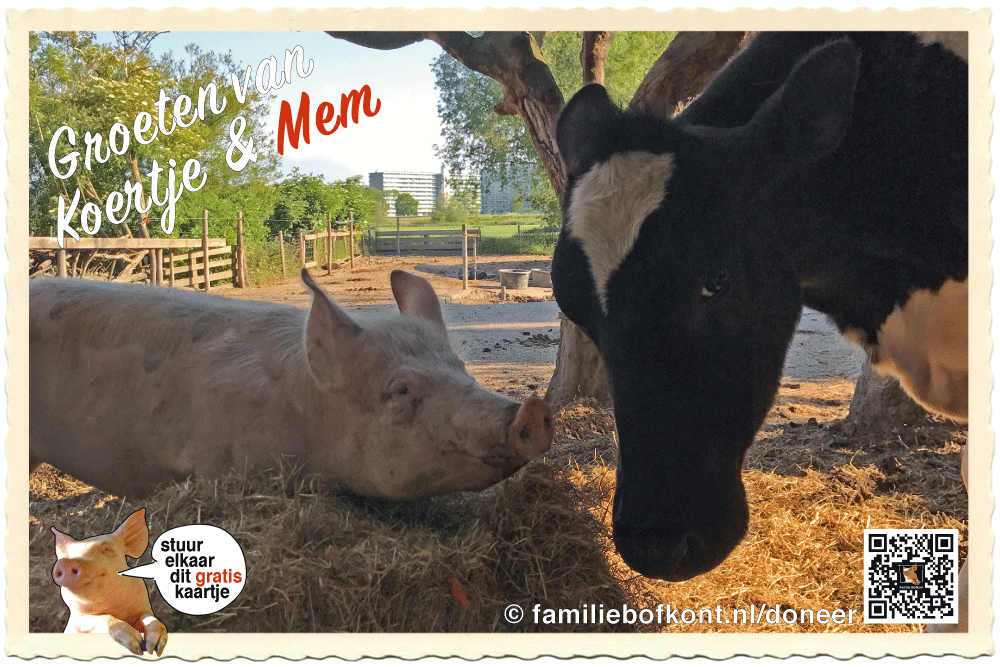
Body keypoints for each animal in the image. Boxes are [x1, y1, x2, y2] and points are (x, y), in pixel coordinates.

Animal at [52, 512, 168, 656]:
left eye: (106, 548)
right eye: (68, 555)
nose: (66, 563)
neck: (116, 609)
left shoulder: (144, 607)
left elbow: (150, 618)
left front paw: (153, 649)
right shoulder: (78, 620)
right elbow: (102, 619)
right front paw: (137, 647)